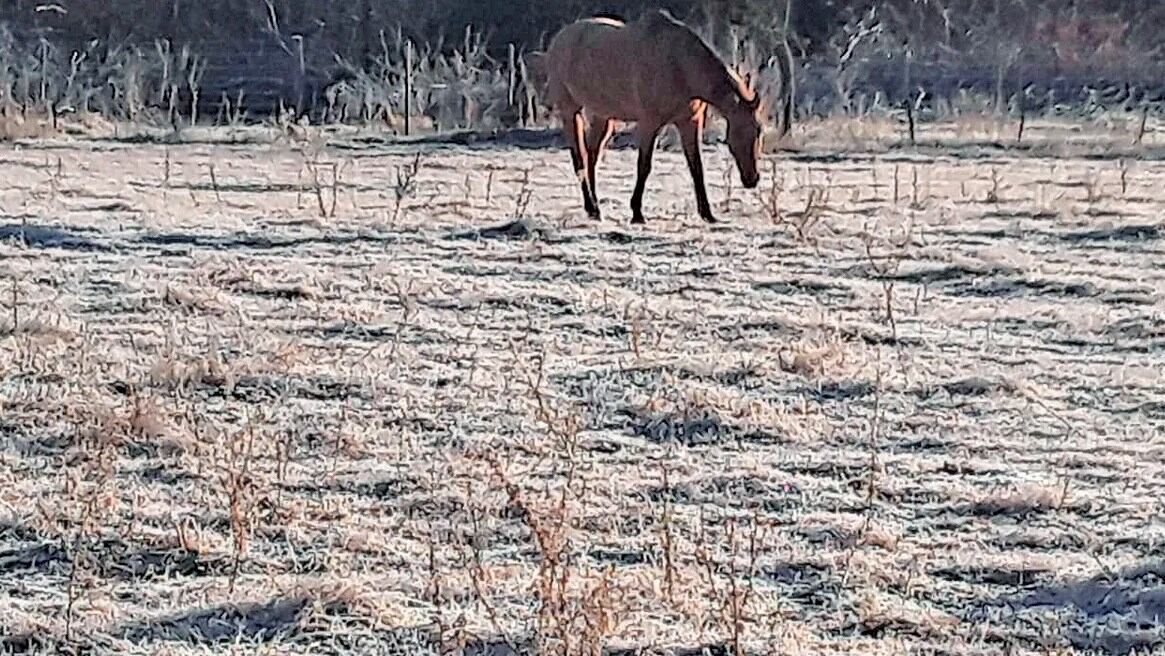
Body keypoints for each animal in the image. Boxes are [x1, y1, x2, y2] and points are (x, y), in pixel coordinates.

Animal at [533, 10, 782, 224]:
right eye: (739, 133)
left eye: (759, 132)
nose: (752, 179)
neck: (679, 65)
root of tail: (558, 40)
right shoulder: (650, 123)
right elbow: (644, 166)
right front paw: (637, 213)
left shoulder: (689, 122)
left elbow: (696, 167)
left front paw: (708, 214)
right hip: (571, 111)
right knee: (579, 158)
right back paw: (592, 206)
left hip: (603, 116)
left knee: (591, 157)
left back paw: (595, 210)